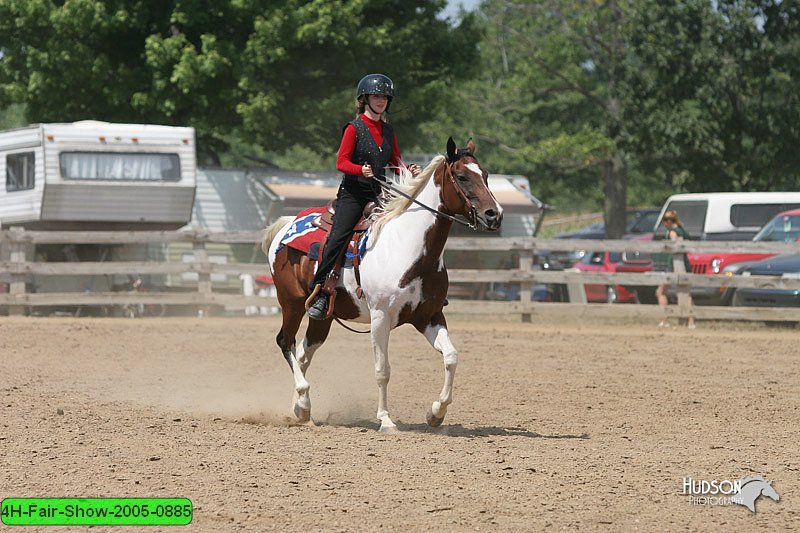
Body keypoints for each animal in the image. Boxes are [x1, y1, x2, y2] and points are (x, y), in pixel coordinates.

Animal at [262, 135, 500, 430]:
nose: (494, 214)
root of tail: (286, 224)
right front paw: (386, 419)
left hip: (322, 315)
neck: (408, 246)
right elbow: (382, 370)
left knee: (305, 353)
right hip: (291, 303)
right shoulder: (380, 317)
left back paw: (299, 409)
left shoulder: (429, 316)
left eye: (486, 175)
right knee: (286, 342)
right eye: (462, 176)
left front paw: (436, 412)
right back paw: (303, 401)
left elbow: (451, 357)